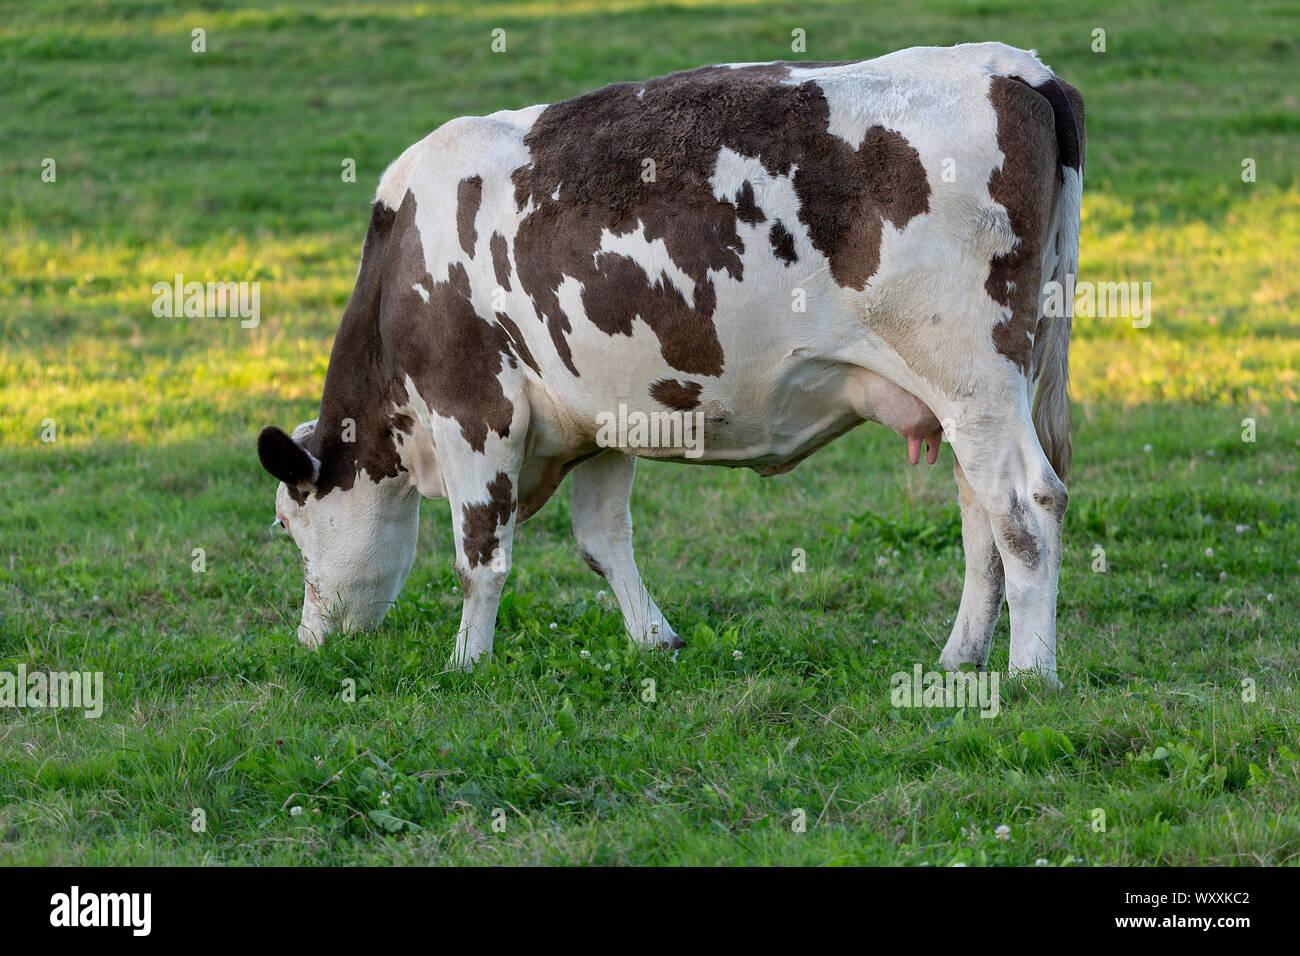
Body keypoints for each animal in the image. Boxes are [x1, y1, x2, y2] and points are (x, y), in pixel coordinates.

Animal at [257, 42, 1085, 683]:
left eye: (289, 525)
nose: (310, 643)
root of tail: (1019, 69)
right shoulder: (595, 414)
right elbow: (602, 543)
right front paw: (655, 639)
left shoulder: (472, 406)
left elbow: (479, 555)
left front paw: (465, 664)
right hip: (978, 393)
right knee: (981, 516)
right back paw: (959, 658)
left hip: (972, 375)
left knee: (1025, 508)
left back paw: (1030, 672)